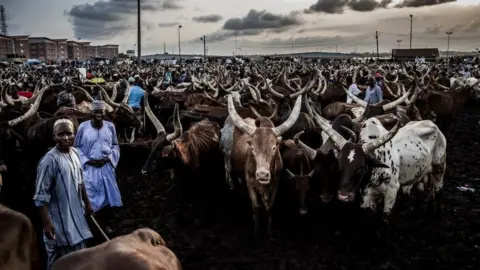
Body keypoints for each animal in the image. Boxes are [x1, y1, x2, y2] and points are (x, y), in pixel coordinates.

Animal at [225, 94, 304, 235]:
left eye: (274, 147)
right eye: (252, 147)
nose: (262, 175)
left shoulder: (276, 183)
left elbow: (270, 207)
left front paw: (269, 231)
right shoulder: (250, 183)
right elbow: (255, 207)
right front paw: (257, 231)